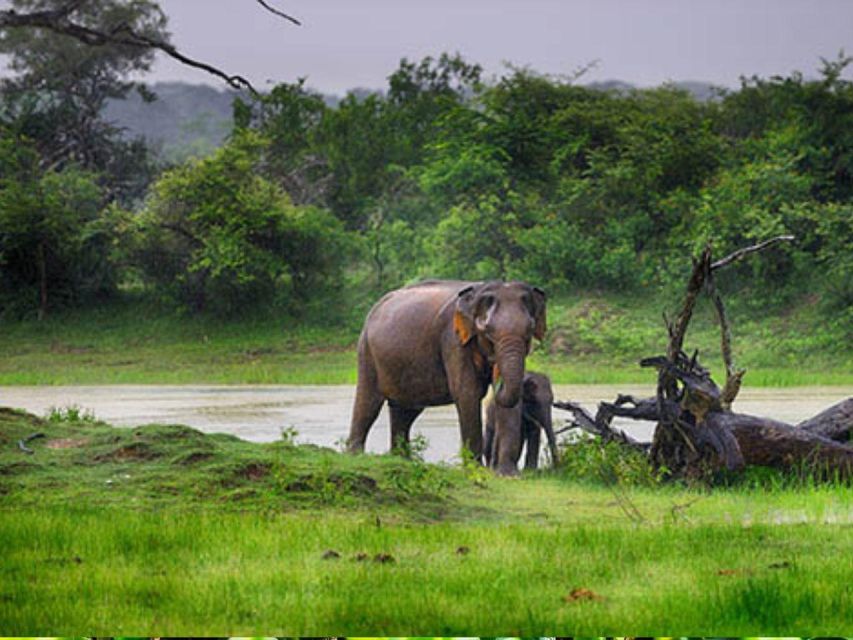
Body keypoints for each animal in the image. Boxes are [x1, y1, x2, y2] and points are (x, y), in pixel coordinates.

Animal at [346, 280, 544, 476]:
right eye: (487, 332)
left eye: (530, 331)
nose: (494, 368)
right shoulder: (453, 340)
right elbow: (467, 393)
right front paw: (475, 470)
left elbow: (512, 401)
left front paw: (509, 475)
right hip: (366, 351)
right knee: (369, 403)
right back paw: (356, 455)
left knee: (405, 411)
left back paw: (401, 460)